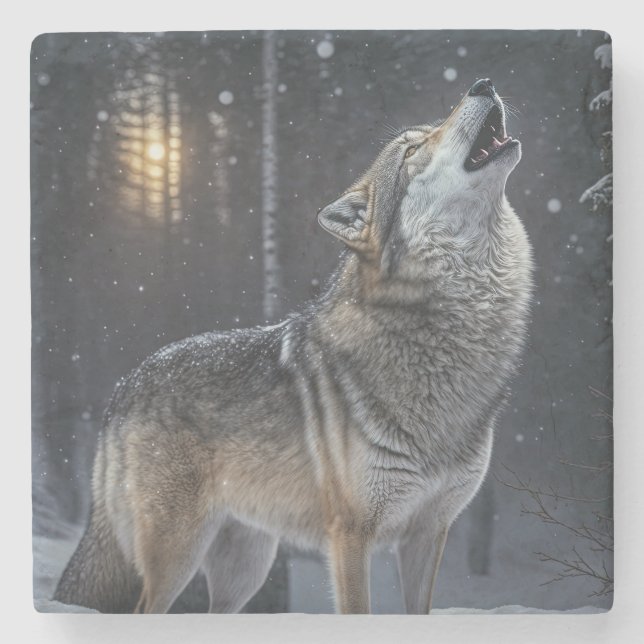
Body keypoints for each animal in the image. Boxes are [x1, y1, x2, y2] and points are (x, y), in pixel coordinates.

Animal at [53, 78, 533, 614]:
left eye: (429, 132)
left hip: (247, 569)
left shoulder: (429, 533)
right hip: (178, 555)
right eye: (412, 150)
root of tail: (123, 386)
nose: (482, 84)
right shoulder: (351, 534)